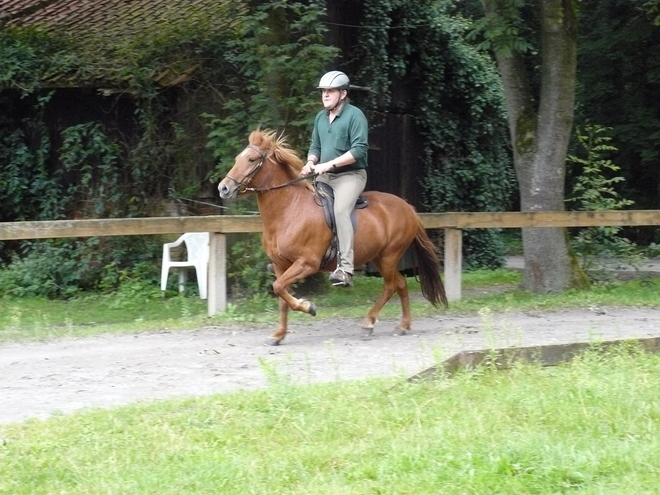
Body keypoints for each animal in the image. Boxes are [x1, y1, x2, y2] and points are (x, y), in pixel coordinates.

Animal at [219, 129, 446, 344]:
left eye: (251, 159)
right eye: (238, 158)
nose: (224, 188)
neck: (289, 210)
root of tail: (408, 207)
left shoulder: (306, 263)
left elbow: (279, 288)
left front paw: (308, 306)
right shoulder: (280, 265)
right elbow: (281, 295)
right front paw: (279, 334)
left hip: (390, 256)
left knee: (391, 286)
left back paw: (369, 323)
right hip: (379, 258)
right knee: (400, 284)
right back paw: (404, 325)